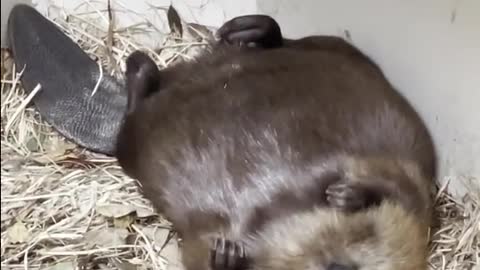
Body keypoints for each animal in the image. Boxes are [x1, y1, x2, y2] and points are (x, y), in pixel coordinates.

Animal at [114, 14, 436, 270]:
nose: (338, 266)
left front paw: (227, 255)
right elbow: (396, 184)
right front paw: (346, 193)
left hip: (138, 141)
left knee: (129, 124)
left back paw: (144, 67)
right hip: (340, 50)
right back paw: (239, 33)